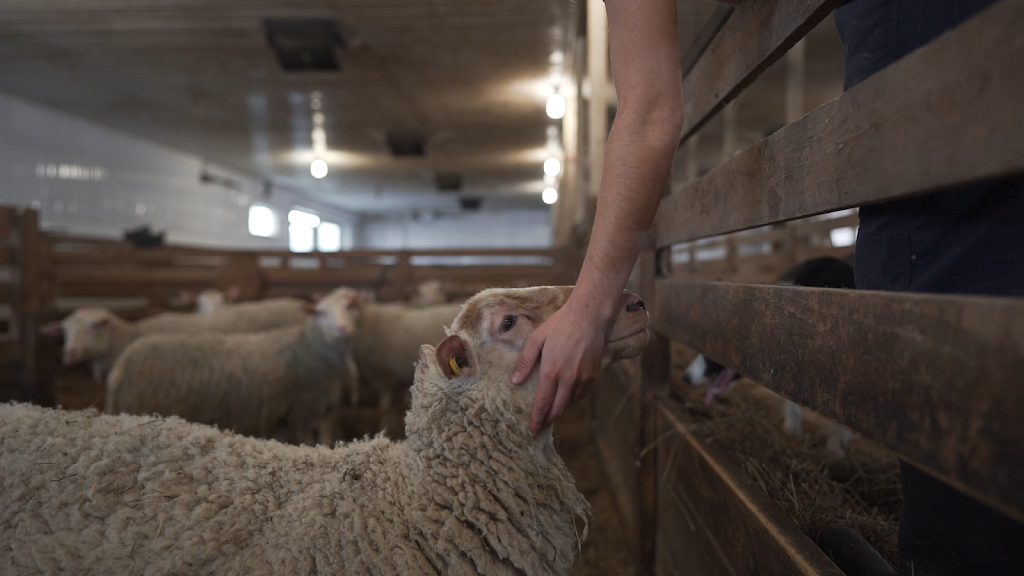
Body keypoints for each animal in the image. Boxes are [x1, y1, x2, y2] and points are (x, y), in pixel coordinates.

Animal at [107, 286, 364, 444]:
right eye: (320, 313)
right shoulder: (303, 411)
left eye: (348, 307)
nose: (343, 329)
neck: (310, 347)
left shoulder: (296, 411)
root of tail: (120, 368)